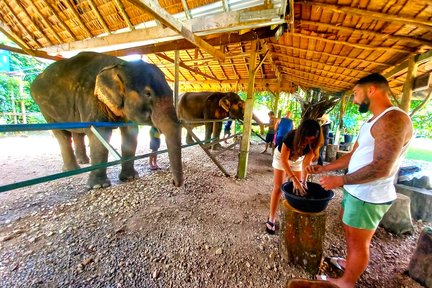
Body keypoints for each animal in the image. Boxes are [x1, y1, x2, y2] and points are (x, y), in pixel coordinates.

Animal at [30, 51, 182, 188]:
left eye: (171, 92)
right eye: (148, 93)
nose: (174, 183)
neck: (118, 64)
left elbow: (130, 132)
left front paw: (130, 178)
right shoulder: (89, 97)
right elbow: (100, 134)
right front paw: (99, 186)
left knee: (77, 132)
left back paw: (83, 162)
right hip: (45, 108)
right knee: (62, 134)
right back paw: (72, 169)